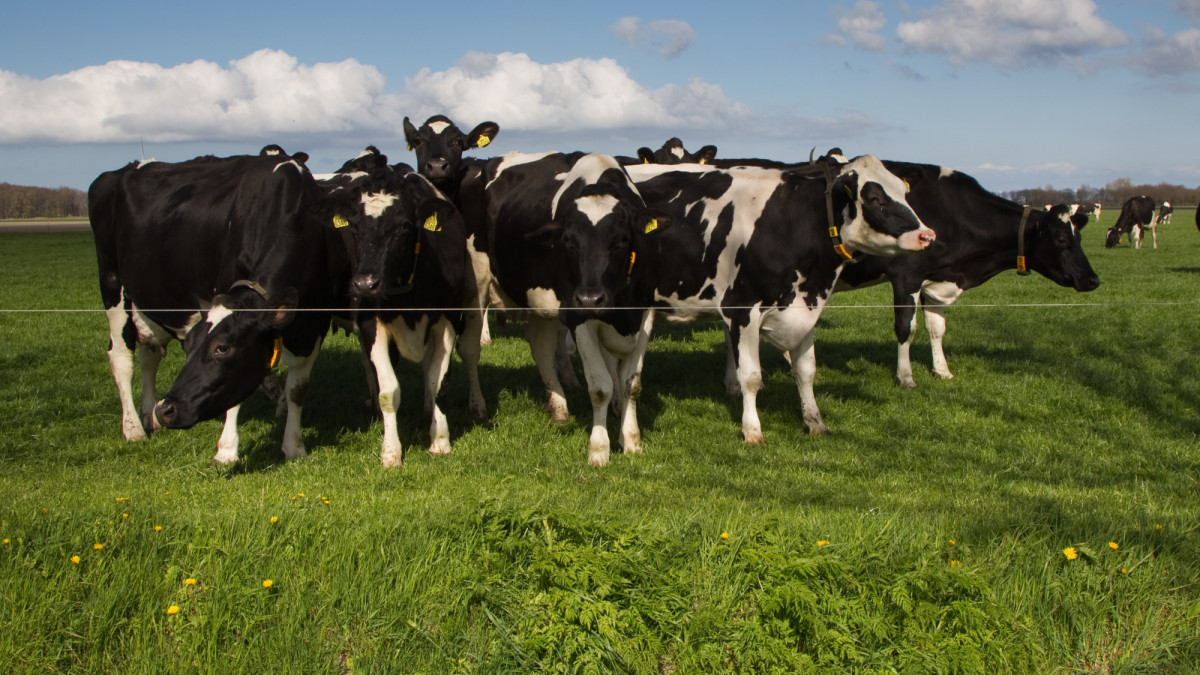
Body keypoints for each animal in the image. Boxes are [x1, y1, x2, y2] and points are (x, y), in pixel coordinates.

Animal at [88, 146, 350, 461]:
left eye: (221, 348)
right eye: (189, 346)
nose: (167, 410)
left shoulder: (313, 322)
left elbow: (297, 388)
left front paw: (294, 446)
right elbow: (234, 396)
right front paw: (226, 449)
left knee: (149, 356)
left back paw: (148, 418)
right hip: (112, 283)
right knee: (121, 358)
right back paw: (133, 428)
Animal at [319, 146, 468, 466]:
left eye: (402, 227)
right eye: (354, 227)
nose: (365, 284)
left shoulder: (447, 320)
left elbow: (438, 382)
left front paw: (440, 440)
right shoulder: (370, 324)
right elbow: (389, 392)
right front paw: (390, 452)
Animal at [456, 151, 667, 468]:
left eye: (621, 241)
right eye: (569, 242)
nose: (590, 298)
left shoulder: (644, 314)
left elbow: (630, 382)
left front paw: (631, 441)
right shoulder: (578, 313)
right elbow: (601, 385)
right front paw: (599, 449)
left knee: (540, 345)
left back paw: (558, 408)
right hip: (477, 284)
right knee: (470, 349)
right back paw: (478, 406)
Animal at [628, 156, 936, 441]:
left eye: (903, 192)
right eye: (874, 198)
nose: (927, 235)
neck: (792, 221)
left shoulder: (806, 307)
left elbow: (806, 371)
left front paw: (814, 422)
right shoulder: (742, 308)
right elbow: (751, 377)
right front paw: (752, 430)